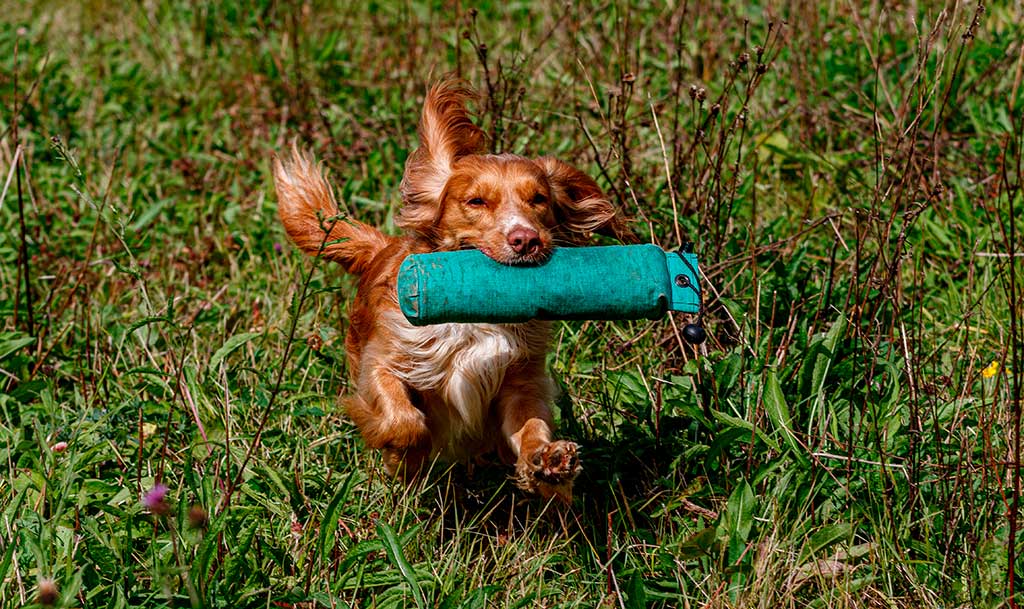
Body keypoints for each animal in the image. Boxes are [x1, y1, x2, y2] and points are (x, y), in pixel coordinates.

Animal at [276, 79, 630, 499]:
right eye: (475, 201)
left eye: (539, 199)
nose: (526, 240)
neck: (476, 322)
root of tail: (383, 246)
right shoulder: (382, 361)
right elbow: (403, 419)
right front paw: (404, 455)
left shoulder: (519, 382)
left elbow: (530, 426)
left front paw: (548, 462)